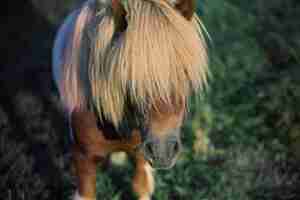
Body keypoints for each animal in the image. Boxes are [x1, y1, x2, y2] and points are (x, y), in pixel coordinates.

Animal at [51, 0, 207, 200]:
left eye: (185, 73)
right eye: (129, 78)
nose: (162, 151)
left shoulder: (141, 156)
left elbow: (140, 187)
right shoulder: (83, 160)